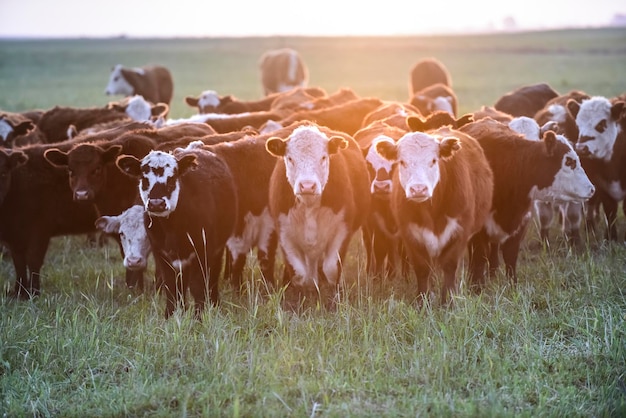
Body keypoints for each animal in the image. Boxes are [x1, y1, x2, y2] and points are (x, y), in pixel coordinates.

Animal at [114, 147, 236, 316]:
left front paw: (199, 316)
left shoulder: (203, 251)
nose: (156, 203)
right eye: (144, 179)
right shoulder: (161, 253)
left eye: (171, 178)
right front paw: (171, 315)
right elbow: (172, 287)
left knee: (212, 278)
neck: (172, 228)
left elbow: (198, 286)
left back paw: (214, 303)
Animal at [264, 122, 370, 308]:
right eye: (290, 158)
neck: (309, 206)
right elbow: (299, 274)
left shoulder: (342, 229)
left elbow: (332, 269)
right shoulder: (284, 231)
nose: (307, 185)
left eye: (323, 157)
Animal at [370, 124, 492, 304]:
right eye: (402, 162)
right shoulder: (410, 233)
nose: (418, 189)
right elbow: (422, 267)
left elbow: (450, 265)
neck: (432, 212)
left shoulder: (460, 230)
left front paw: (448, 301)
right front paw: (422, 300)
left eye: (434, 160)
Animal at [564, 93, 624, 240]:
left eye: (601, 124)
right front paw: (610, 237)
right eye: (578, 124)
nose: (581, 148)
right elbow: (610, 211)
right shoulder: (603, 188)